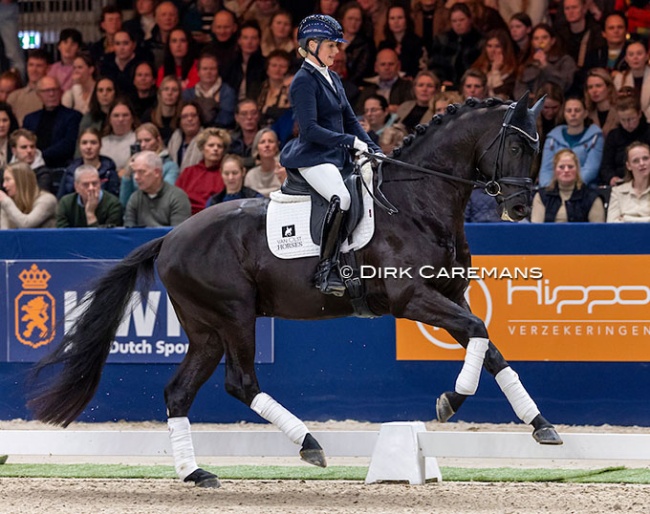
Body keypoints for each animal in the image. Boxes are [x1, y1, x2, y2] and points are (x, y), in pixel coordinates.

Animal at [28, 95, 562, 489]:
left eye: (538, 148)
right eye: (517, 147)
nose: (519, 207)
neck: (417, 201)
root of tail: (171, 237)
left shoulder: (450, 296)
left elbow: (488, 345)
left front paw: (541, 426)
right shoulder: (411, 299)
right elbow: (479, 333)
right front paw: (451, 401)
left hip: (207, 330)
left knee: (179, 391)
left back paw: (196, 473)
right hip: (235, 315)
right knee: (240, 383)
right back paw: (309, 445)